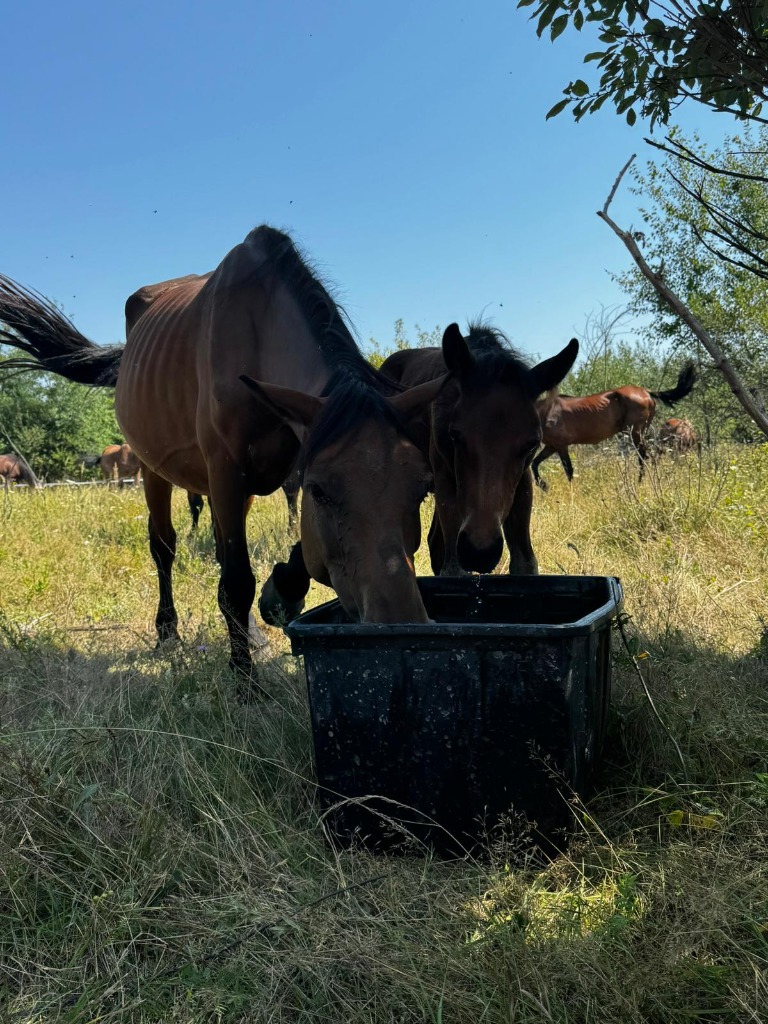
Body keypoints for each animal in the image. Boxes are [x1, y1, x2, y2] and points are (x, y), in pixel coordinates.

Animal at [0, 226, 446, 696]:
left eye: (422, 488)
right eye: (321, 491)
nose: (399, 620)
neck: (259, 333)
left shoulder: (280, 470)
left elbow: (282, 554)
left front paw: (279, 595)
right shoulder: (230, 474)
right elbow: (237, 581)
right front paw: (245, 678)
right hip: (154, 470)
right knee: (164, 546)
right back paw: (168, 631)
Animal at [379, 324, 578, 575]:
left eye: (532, 442)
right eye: (455, 434)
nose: (480, 552)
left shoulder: (523, 481)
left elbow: (525, 564)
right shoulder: (444, 477)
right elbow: (453, 569)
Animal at [532, 362, 696, 489]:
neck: (545, 412)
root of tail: (646, 392)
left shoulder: (561, 445)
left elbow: (569, 470)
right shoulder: (551, 446)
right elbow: (535, 463)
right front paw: (543, 486)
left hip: (636, 433)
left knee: (643, 456)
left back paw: (640, 483)